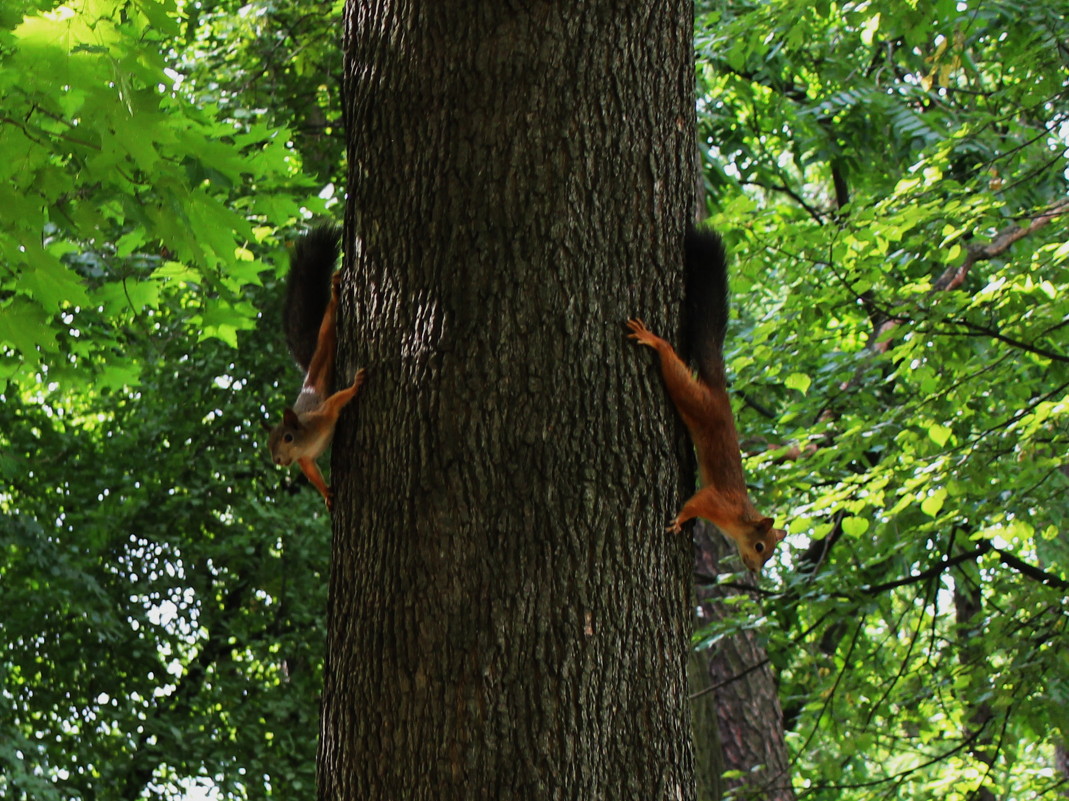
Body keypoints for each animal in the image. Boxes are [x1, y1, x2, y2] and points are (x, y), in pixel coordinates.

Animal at [264, 224, 365, 509]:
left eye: (287, 437)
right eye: (268, 444)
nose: (278, 461)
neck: (305, 442)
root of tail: (309, 374)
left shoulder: (323, 416)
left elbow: (337, 400)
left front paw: (355, 386)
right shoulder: (305, 459)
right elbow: (311, 473)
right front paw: (326, 493)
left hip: (325, 344)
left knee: (329, 321)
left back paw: (335, 291)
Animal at [624, 227, 786, 573]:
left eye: (769, 554)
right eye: (760, 546)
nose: (755, 570)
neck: (739, 518)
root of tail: (720, 393)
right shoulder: (716, 501)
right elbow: (695, 503)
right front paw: (679, 521)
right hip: (695, 398)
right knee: (673, 367)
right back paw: (654, 341)